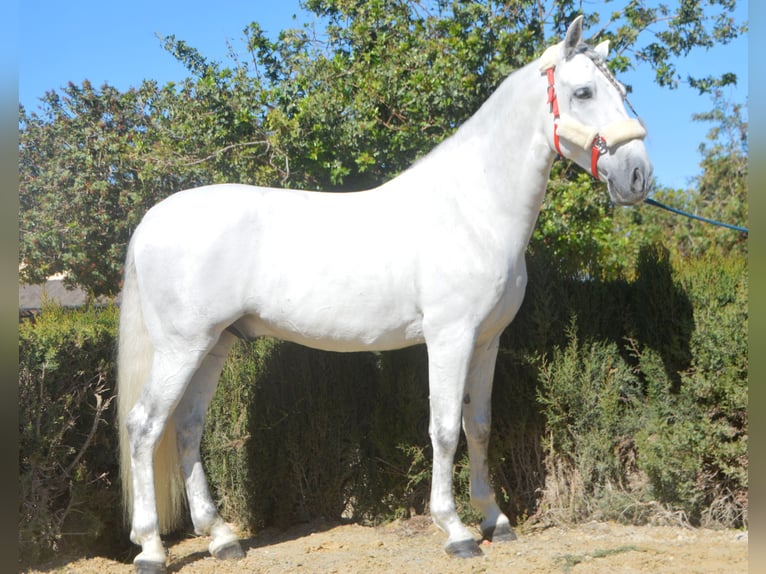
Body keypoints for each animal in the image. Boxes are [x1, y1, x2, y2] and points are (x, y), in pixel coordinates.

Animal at [118, 15, 656, 572]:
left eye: (623, 92)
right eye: (584, 92)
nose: (638, 176)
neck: (473, 209)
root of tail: (153, 219)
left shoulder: (487, 341)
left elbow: (479, 425)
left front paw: (496, 520)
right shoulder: (449, 339)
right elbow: (444, 428)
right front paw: (456, 530)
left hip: (214, 344)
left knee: (186, 428)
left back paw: (223, 538)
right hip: (182, 347)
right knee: (144, 426)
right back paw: (152, 548)